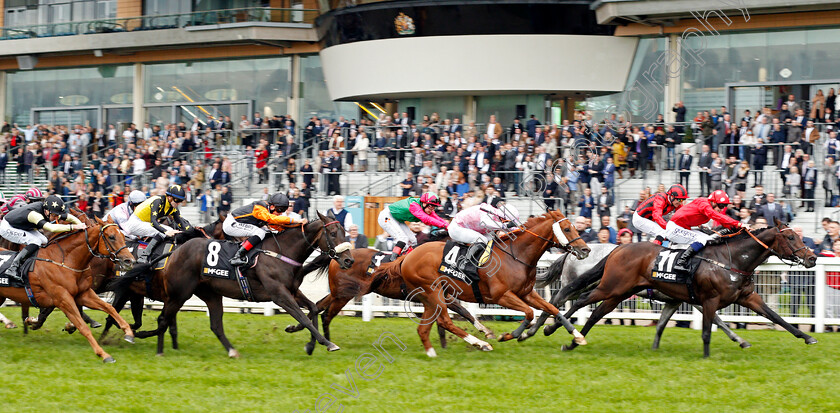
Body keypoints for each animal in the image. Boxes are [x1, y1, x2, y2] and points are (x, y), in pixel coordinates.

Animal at [0, 209, 135, 360]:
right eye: (111, 237)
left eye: (122, 235)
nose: (130, 260)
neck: (65, 260)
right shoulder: (63, 299)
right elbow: (82, 326)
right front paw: (104, 354)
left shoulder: (84, 294)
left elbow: (109, 308)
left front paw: (129, 333)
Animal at [120, 211, 352, 356]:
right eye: (333, 234)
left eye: (345, 232)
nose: (349, 260)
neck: (282, 252)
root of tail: (175, 251)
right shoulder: (279, 294)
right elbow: (303, 316)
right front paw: (327, 343)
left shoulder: (292, 291)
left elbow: (311, 309)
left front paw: (306, 342)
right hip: (179, 293)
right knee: (162, 319)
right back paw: (155, 348)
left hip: (208, 293)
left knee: (212, 324)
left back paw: (231, 351)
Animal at [380, 211, 592, 356]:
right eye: (567, 229)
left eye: (574, 226)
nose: (586, 249)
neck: (517, 255)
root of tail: (407, 257)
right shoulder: (502, 296)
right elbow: (529, 313)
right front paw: (508, 335)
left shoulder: (526, 293)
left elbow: (553, 309)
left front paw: (578, 336)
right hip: (433, 292)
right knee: (445, 321)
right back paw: (482, 343)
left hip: (430, 297)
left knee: (427, 326)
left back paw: (433, 352)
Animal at [520, 245, 752, 348]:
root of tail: (571, 252)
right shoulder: (697, 299)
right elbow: (718, 320)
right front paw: (739, 339)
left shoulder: (680, 299)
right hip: (584, 283)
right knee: (557, 300)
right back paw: (533, 331)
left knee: (562, 303)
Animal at [556, 219, 816, 358]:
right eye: (790, 238)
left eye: (798, 236)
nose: (812, 258)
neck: (731, 259)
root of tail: (618, 248)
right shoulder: (707, 300)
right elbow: (709, 329)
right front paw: (709, 356)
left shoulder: (747, 297)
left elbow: (776, 317)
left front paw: (807, 337)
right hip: (610, 287)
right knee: (578, 300)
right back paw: (558, 328)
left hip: (618, 293)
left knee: (595, 313)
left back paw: (572, 340)